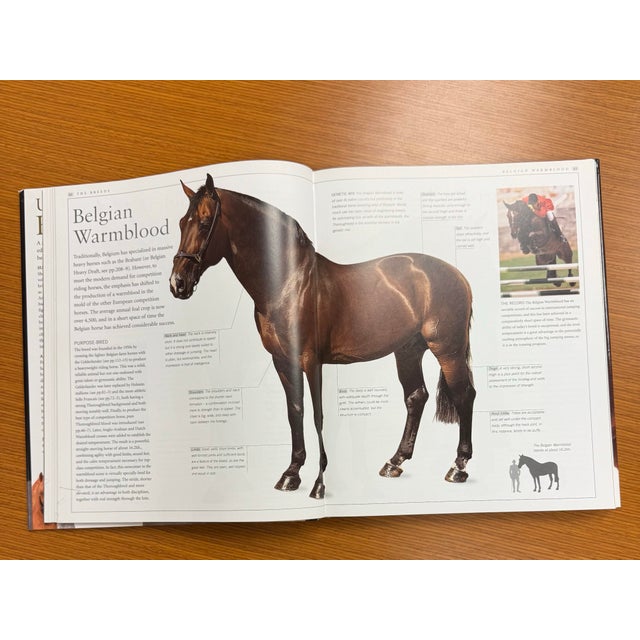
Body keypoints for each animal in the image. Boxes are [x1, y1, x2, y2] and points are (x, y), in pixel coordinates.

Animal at [170, 174, 476, 499]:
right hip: (408, 350)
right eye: (181, 223)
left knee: (464, 395)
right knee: (416, 397)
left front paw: (319, 483)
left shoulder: (310, 361)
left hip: (448, 349)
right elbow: (295, 412)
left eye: (205, 223)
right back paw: (394, 462)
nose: (177, 283)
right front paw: (291, 473)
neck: (288, 284)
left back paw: (458, 467)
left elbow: (318, 416)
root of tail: (458, 275)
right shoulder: (282, 362)